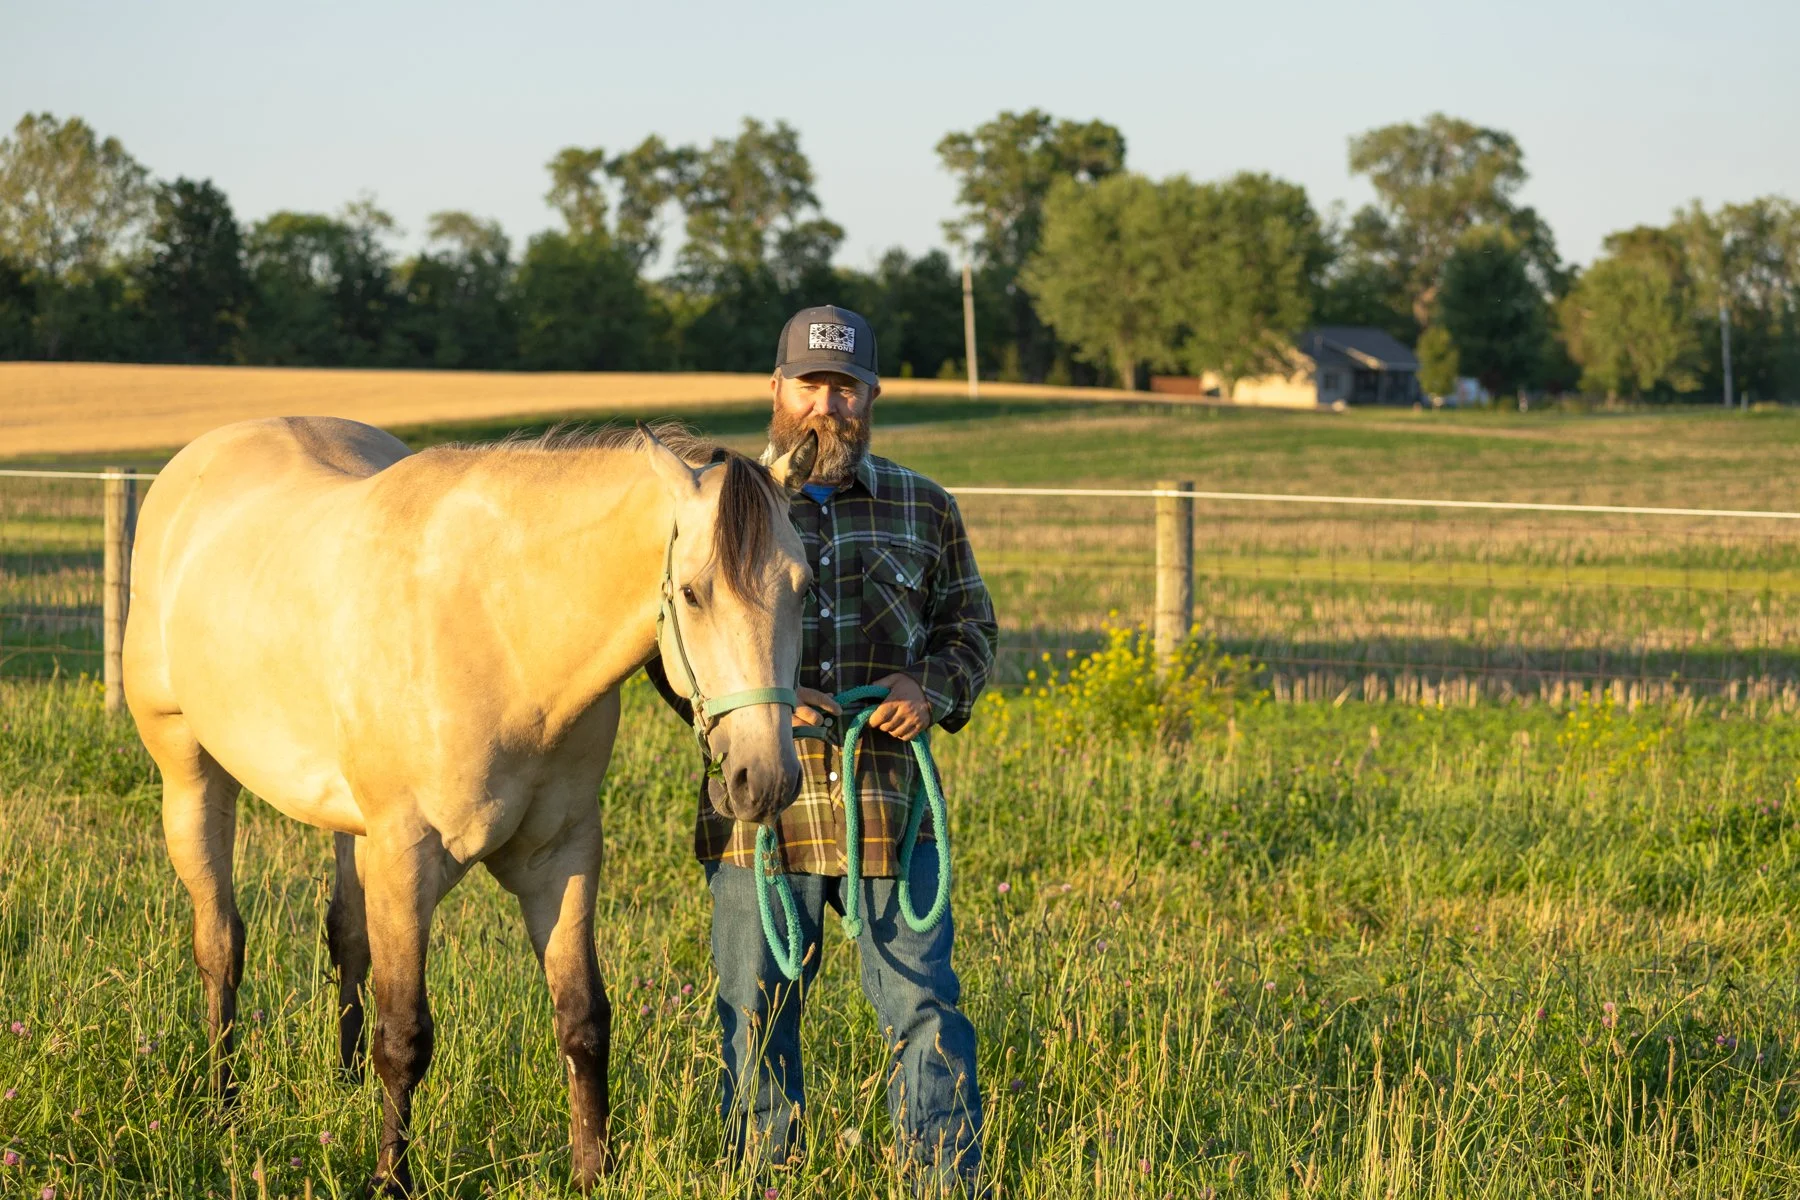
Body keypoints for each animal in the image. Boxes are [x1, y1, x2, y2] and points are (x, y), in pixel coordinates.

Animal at [122, 415, 818, 1194]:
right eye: (695, 594)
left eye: (805, 587)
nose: (766, 779)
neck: (500, 631)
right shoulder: (408, 857)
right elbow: (405, 1036)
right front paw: (390, 1180)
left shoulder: (561, 857)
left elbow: (582, 1018)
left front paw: (591, 1172)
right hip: (192, 777)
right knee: (220, 943)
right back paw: (223, 1105)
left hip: (352, 828)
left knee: (346, 937)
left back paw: (343, 1087)